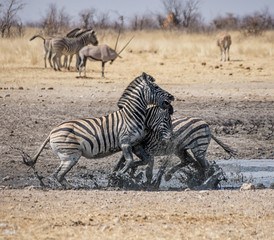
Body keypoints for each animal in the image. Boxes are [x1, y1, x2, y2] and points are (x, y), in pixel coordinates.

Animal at [22, 71, 174, 188]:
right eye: (156, 87)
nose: (172, 96)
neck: (133, 115)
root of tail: (51, 132)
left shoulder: (135, 144)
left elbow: (143, 160)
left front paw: (123, 172)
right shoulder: (125, 142)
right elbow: (130, 161)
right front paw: (118, 174)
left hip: (66, 156)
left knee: (56, 173)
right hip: (71, 155)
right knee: (59, 174)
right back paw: (72, 187)